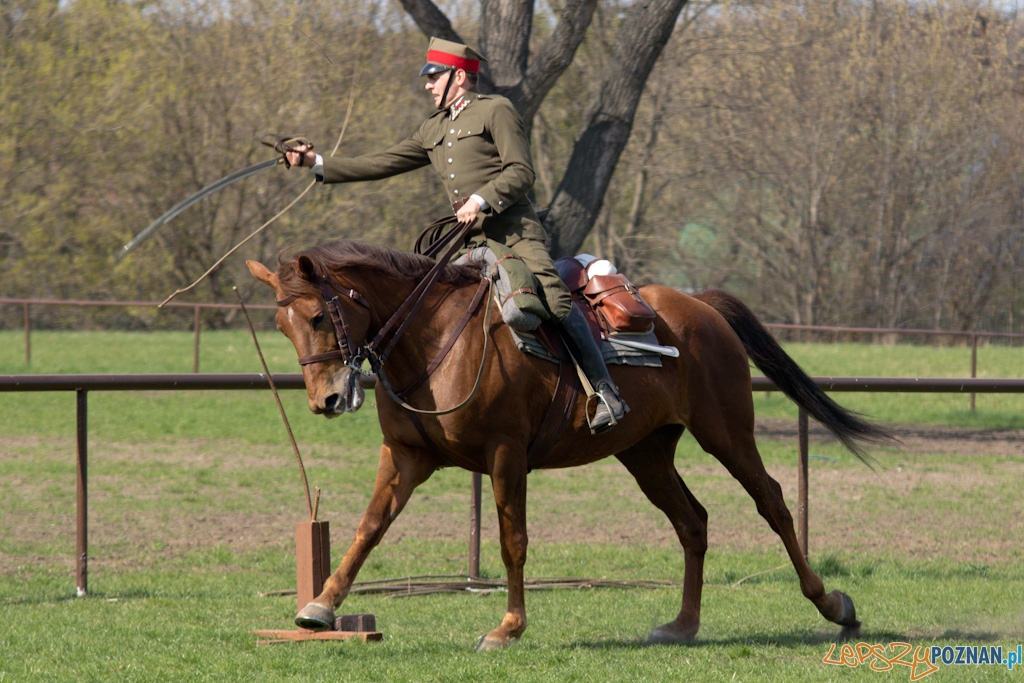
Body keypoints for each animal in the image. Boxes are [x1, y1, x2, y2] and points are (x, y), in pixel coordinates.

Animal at [245, 240, 888, 651]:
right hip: (646, 453)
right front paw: (320, 606)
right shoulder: (405, 457)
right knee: (692, 522)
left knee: (772, 503)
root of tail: (701, 307)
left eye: (318, 317)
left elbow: (513, 542)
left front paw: (508, 627)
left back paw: (833, 606)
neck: (435, 340)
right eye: (281, 325)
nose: (327, 399)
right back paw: (682, 626)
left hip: (726, 434)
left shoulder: (506, 455)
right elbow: (368, 528)